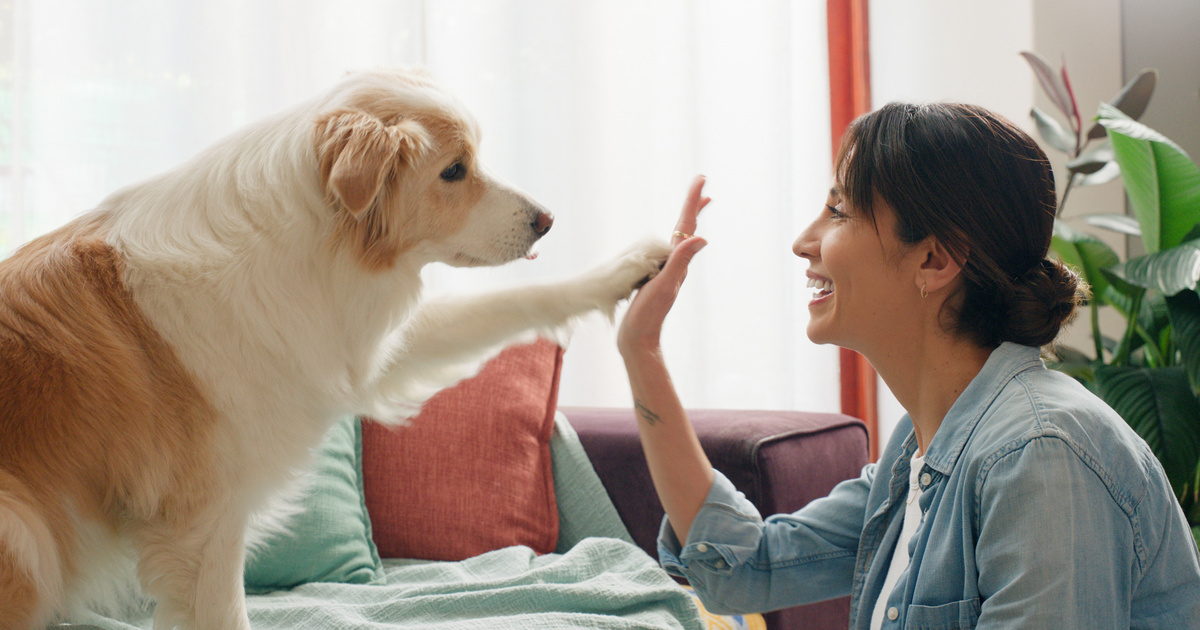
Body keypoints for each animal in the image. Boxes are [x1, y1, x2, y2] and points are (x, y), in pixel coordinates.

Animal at [0, 68, 672, 628]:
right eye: (454, 170)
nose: (547, 220)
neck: (312, 244)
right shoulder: (203, 524)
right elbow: (224, 613)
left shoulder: (349, 346)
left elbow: (512, 302)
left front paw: (623, 272)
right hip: (24, 532)